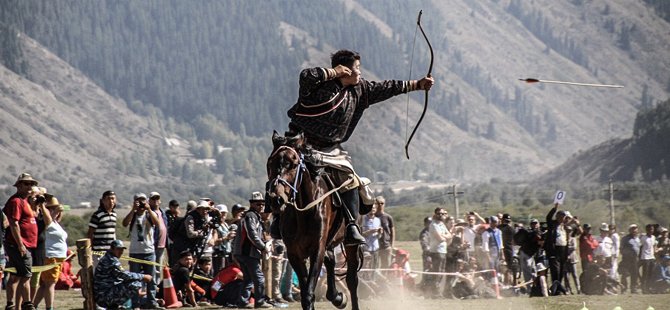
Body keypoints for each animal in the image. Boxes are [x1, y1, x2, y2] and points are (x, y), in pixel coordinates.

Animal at [266, 131, 362, 310]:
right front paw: (336, 297)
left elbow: (309, 291)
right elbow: (305, 293)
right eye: (270, 163)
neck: (304, 211)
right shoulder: (294, 253)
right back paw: (337, 297)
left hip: (349, 243)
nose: (276, 199)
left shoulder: (317, 248)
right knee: (331, 260)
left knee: (352, 279)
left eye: (293, 164)